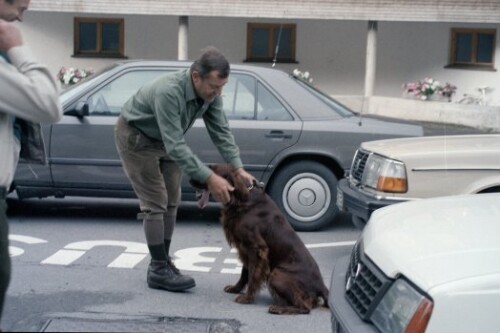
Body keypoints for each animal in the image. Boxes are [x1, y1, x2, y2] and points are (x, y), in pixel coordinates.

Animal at [190, 164, 328, 314]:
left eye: (211, 171)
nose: (190, 179)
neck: (241, 199)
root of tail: (321, 285)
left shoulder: (256, 248)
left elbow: (253, 275)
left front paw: (247, 298)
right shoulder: (245, 248)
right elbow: (245, 272)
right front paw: (236, 288)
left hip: (277, 273)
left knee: (305, 307)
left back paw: (278, 308)